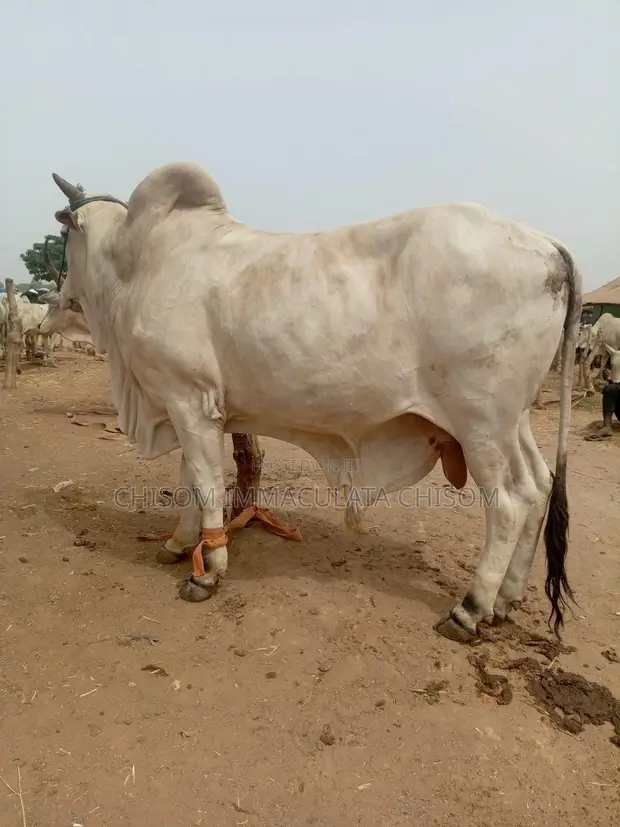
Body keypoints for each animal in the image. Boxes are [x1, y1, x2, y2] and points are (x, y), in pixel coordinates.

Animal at [49, 164, 582, 643]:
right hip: (514, 421)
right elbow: (190, 482)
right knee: (538, 486)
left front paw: (208, 570)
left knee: (509, 504)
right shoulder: (196, 409)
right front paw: (181, 543)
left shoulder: (186, 399)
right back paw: (506, 600)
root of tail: (546, 243)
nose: (58, 294)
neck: (135, 266)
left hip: (481, 423)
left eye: (64, 237)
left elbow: (203, 484)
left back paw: (470, 610)